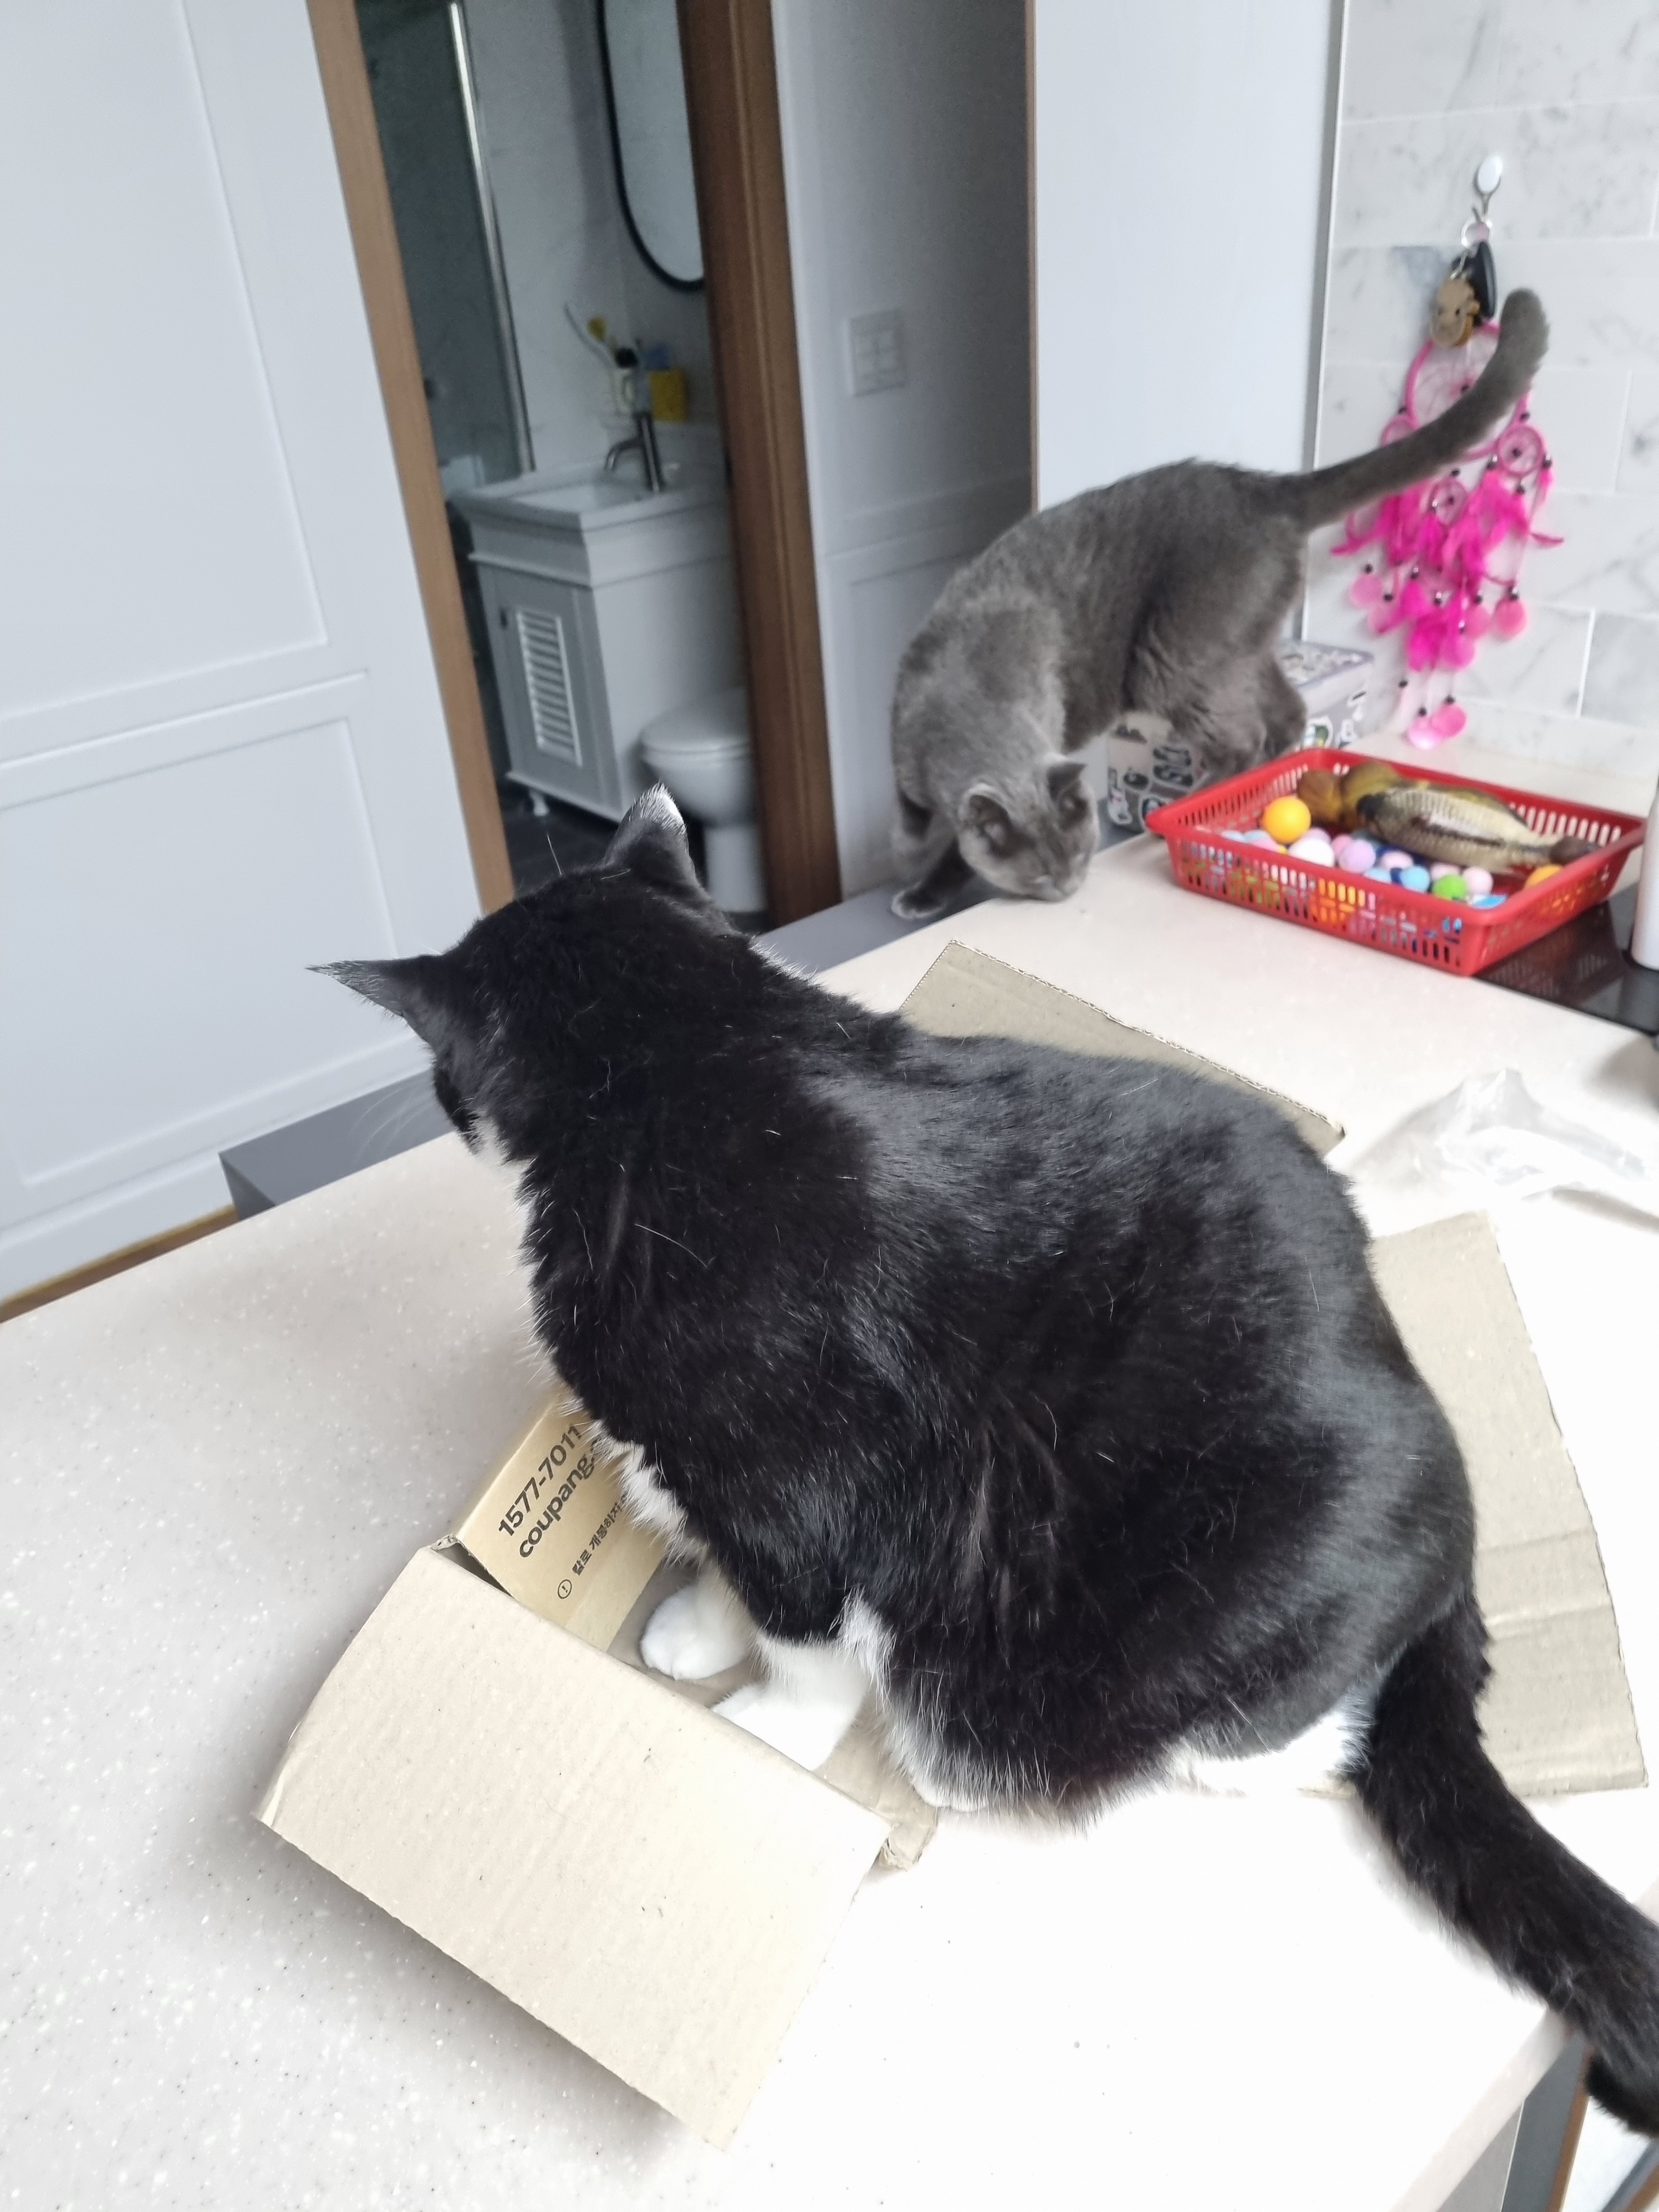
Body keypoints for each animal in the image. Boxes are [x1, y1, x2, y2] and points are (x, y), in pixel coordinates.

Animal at [327, 780, 1659, 2134]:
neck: (689, 1060)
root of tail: (1455, 1509)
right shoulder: (709, 1477)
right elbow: (720, 1566)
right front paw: (695, 1631)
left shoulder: (803, 1485)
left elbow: (803, 1637)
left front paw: (763, 1730)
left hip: (1186, 1641)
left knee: (1292, 1743)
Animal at [890, 289, 1549, 919]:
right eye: (1043, 876)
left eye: (1075, 858)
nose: (1070, 887)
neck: (960, 697)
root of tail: (1266, 489)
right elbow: (912, 825)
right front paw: (916, 870)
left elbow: (954, 846)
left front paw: (927, 888)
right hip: (1232, 644)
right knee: (1284, 715)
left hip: (1173, 655)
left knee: (1244, 736)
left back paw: (1178, 812)